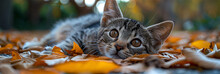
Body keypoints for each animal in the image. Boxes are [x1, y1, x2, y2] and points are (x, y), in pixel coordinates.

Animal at [22, 0, 174, 59]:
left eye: (136, 42)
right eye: (114, 33)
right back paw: (33, 43)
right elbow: (69, 41)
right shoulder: (82, 32)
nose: (119, 46)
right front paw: (54, 50)